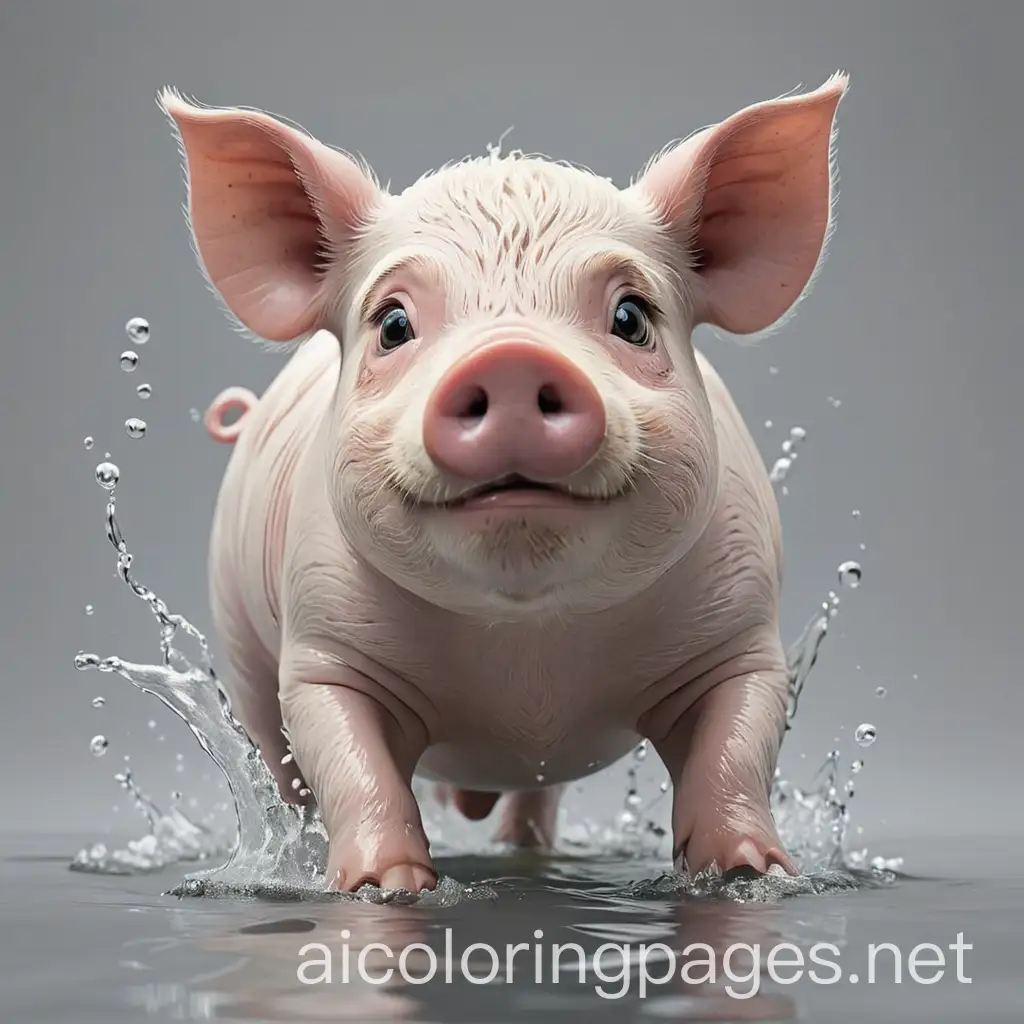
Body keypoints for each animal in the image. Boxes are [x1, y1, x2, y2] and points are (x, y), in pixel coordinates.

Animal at [157, 72, 847, 892]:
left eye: (631, 317)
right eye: (393, 325)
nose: (513, 357)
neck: (526, 654)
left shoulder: (741, 630)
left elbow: (736, 749)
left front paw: (751, 875)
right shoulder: (323, 644)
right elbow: (353, 764)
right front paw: (387, 888)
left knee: (538, 794)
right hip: (240, 646)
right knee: (284, 770)